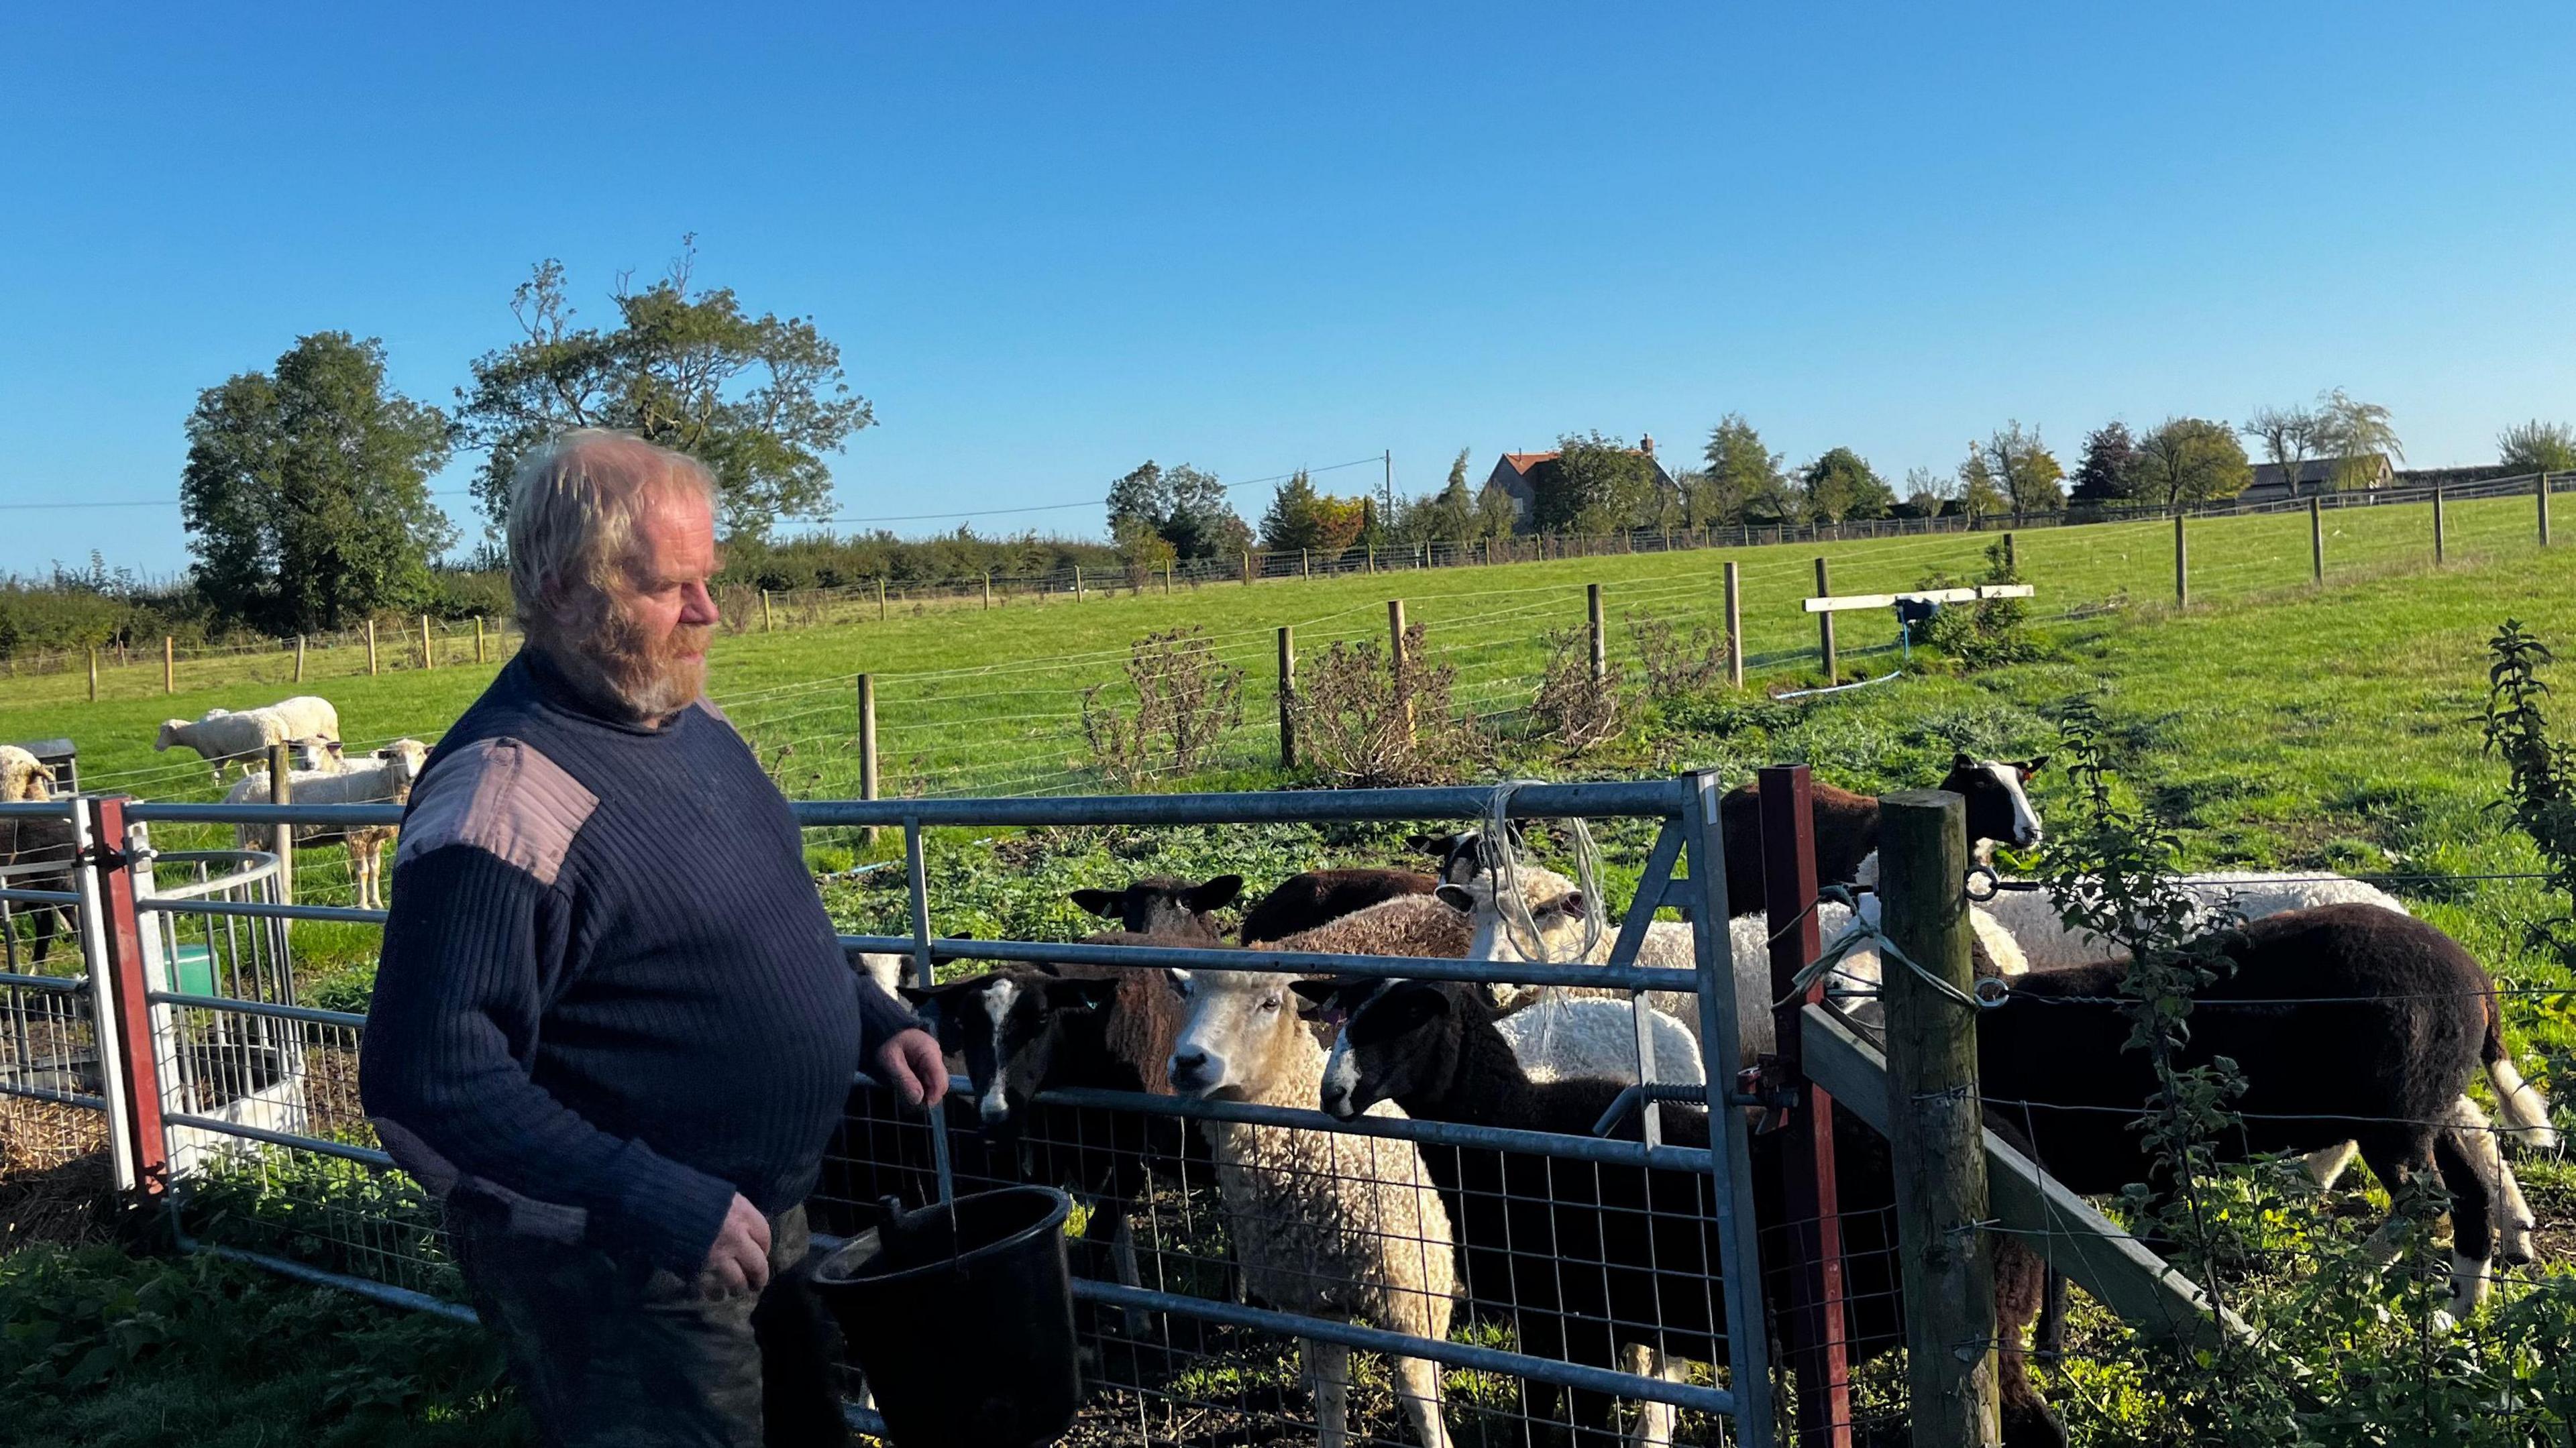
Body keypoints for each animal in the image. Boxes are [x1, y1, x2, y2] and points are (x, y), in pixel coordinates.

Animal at [1164, 958, 1452, 1443]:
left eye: (1270, 1003)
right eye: (1187, 995)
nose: (1188, 1061)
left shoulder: (1414, 1299)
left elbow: (1420, 1400)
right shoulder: (1317, 1302)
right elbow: (1332, 1398)